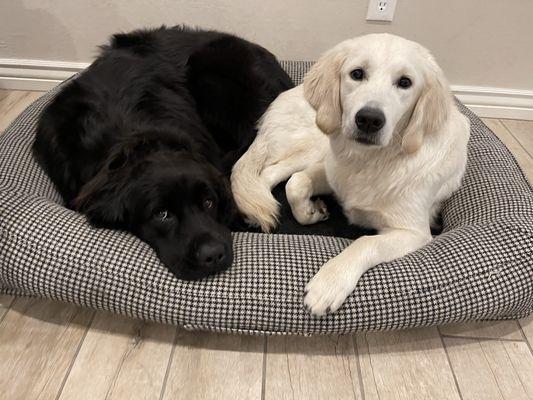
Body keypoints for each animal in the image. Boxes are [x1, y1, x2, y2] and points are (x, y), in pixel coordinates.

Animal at [231, 34, 468, 316]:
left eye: (405, 82)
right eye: (357, 73)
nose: (369, 119)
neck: (370, 161)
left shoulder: (414, 232)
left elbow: (366, 242)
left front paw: (328, 283)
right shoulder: (330, 171)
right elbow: (296, 184)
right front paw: (312, 212)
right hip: (316, 145)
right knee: (269, 174)